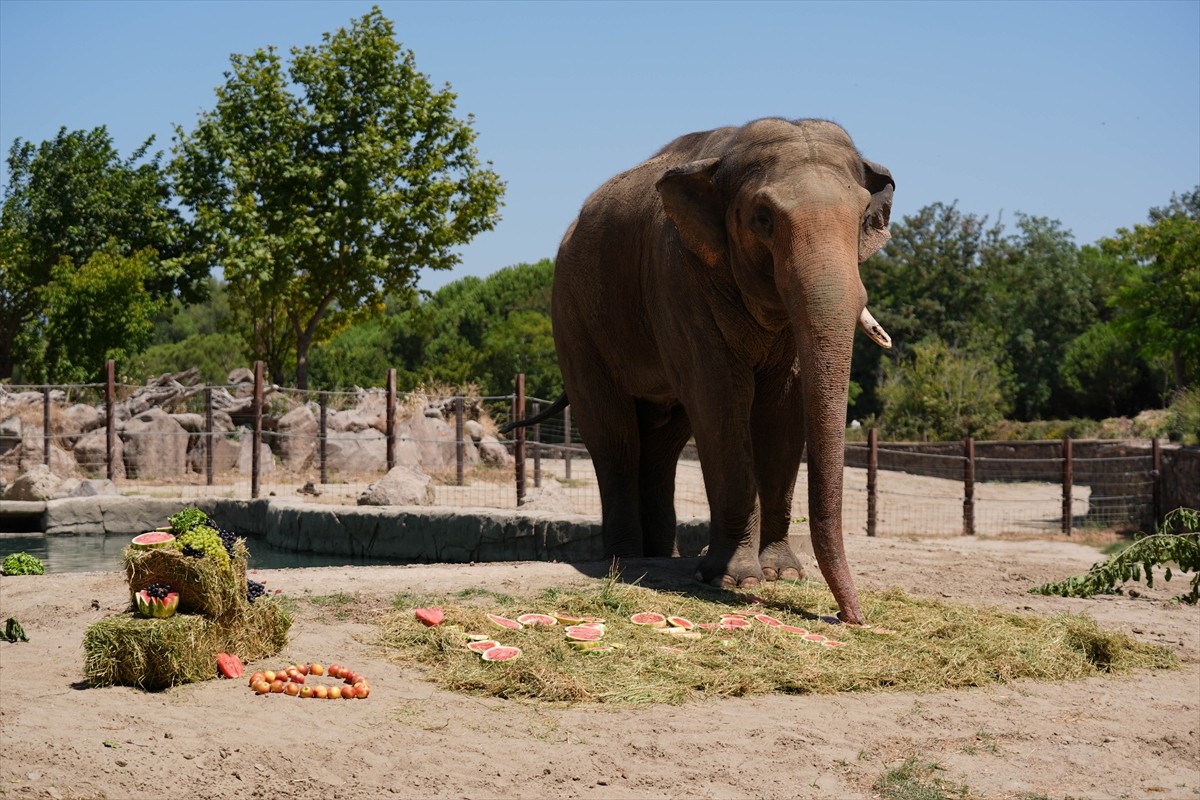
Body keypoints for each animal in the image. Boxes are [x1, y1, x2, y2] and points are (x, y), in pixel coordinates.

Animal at [516, 117, 892, 623]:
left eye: (862, 217)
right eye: (763, 218)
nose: (851, 618)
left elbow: (781, 410)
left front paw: (783, 575)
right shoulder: (678, 277)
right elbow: (719, 396)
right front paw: (734, 580)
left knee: (662, 446)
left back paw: (660, 556)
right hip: (574, 320)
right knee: (614, 437)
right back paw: (625, 559)